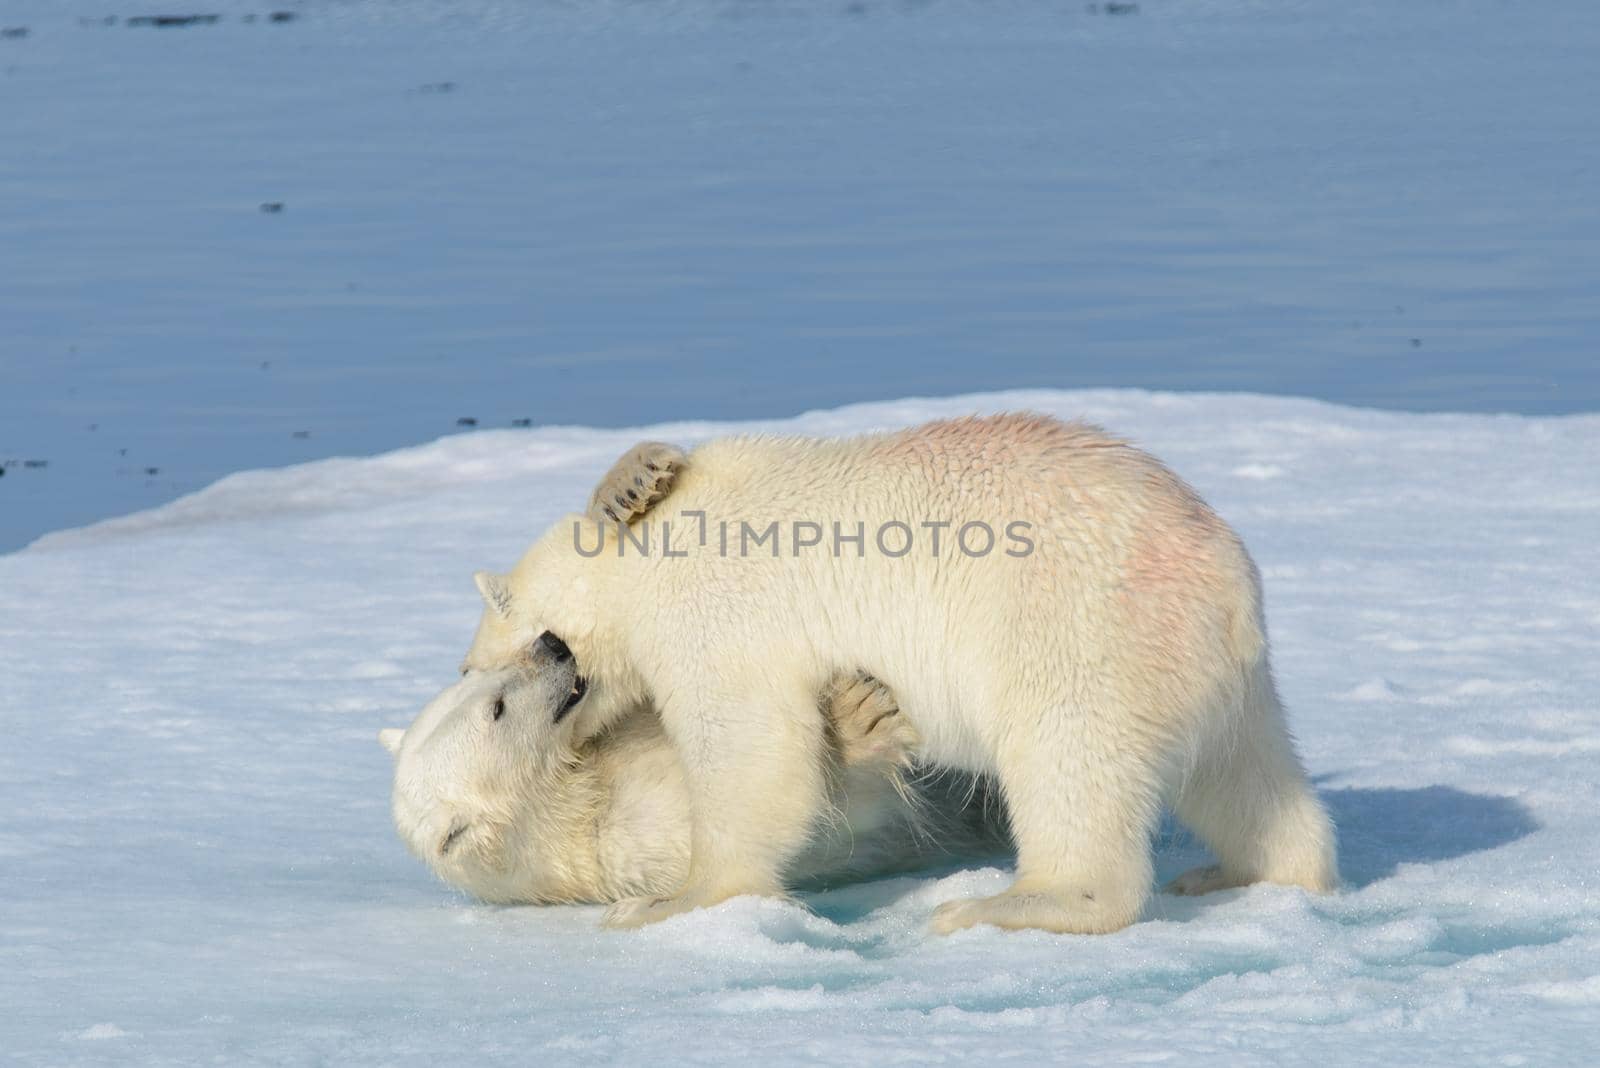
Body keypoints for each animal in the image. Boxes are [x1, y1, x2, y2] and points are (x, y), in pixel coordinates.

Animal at [457, 415, 1331, 933]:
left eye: (477, 669)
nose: (478, 669)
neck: (641, 570)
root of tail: (1226, 588)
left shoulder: (716, 616)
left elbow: (750, 754)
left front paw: (671, 900)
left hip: (1077, 633)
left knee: (1069, 763)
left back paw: (1007, 903)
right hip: (1213, 678)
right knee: (1245, 777)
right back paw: (1250, 871)